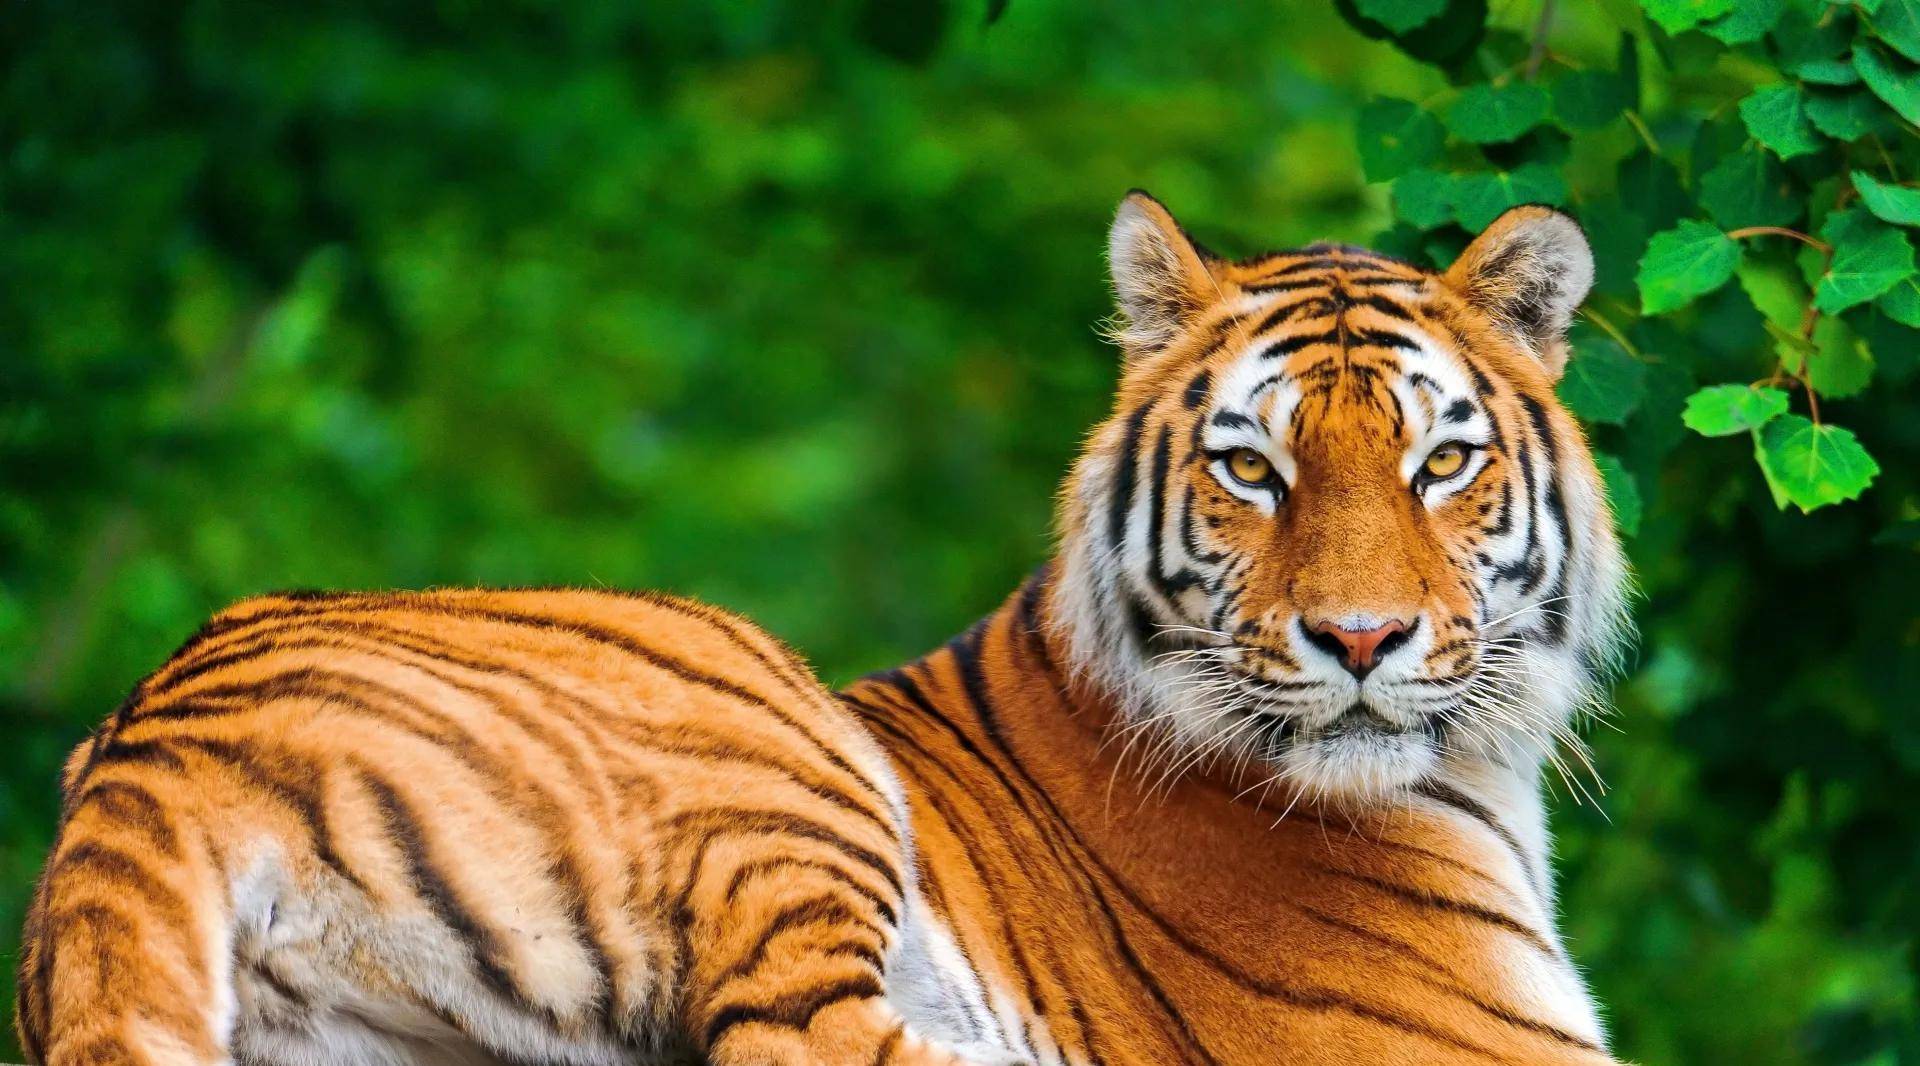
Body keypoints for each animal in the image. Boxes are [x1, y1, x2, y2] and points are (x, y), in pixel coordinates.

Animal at [16, 193, 1630, 1066]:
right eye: (1254, 469)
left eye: (1440, 463)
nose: (1360, 640)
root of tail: (148, 740)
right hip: (772, 741)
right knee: (799, 1034)